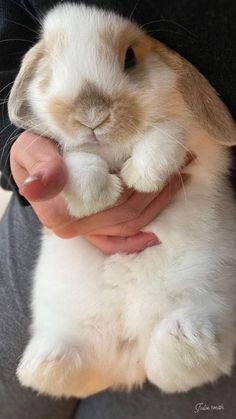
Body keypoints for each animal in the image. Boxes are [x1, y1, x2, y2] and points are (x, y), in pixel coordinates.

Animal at [8, 3, 236, 398]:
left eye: (130, 57)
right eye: (50, 63)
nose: (91, 116)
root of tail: (129, 357)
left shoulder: (198, 143)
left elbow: (166, 133)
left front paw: (142, 177)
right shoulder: (66, 153)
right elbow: (76, 160)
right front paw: (97, 194)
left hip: (213, 305)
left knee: (183, 364)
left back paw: (185, 338)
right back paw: (43, 361)